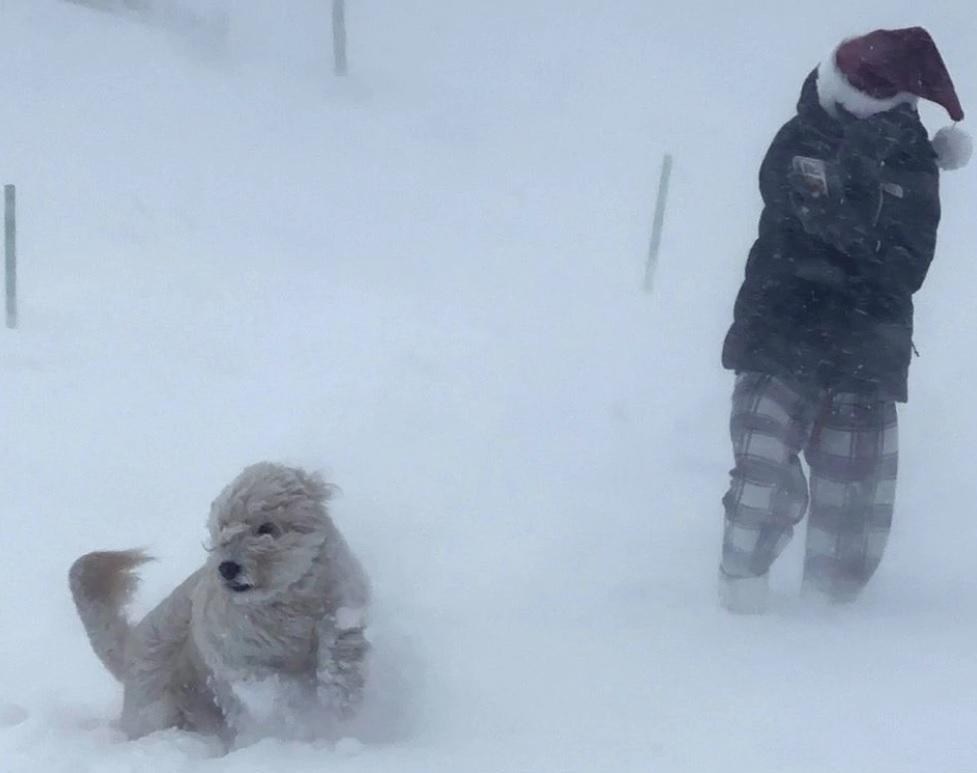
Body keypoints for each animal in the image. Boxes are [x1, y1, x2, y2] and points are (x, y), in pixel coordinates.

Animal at [68, 462, 372, 740]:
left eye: (266, 528)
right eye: (222, 527)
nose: (227, 568)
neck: (284, 602)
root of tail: (131, 647)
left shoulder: (343, 607)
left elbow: (339, 648)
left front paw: (339, 696)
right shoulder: (240, 659)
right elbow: (273, 691)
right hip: (159, 709)